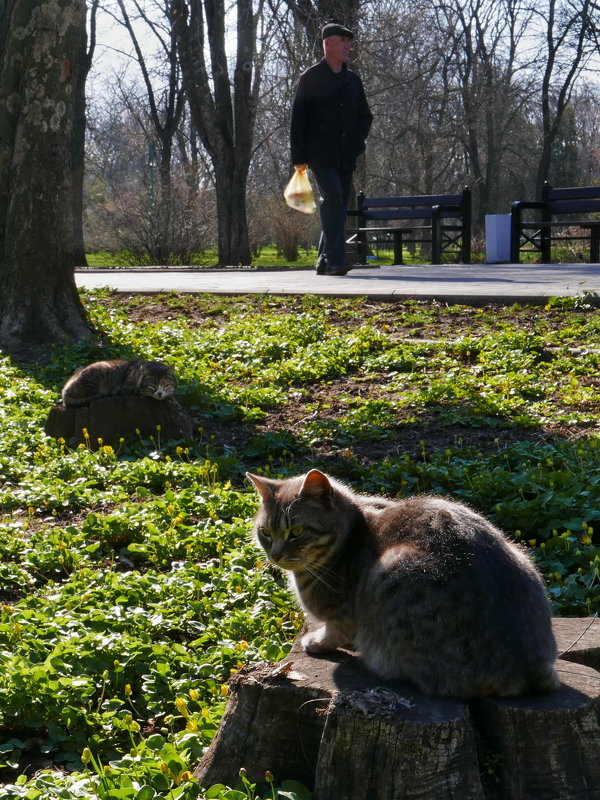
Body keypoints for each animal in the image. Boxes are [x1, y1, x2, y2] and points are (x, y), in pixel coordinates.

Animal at [246, 468, 560, 700]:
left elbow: (335, 631)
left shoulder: (343, 616)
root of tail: (531, 667)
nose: (275, 554)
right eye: (265, 532)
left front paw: (318, 641)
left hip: (393, 572)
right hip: (522, 555)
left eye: (297, 531)